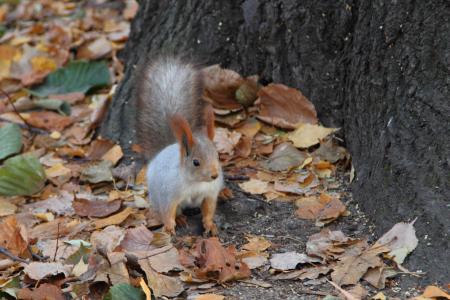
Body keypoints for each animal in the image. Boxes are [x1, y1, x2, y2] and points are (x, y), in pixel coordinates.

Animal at [135, 55, 223, 234]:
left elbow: (209, 209)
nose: (214, 175)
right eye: (195, 162)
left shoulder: (211, 192)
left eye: (218, 156)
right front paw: (169, 227)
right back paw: (181, 219)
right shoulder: (169, 193)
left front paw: (209, 224)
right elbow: (168, 210)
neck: (196, 183)